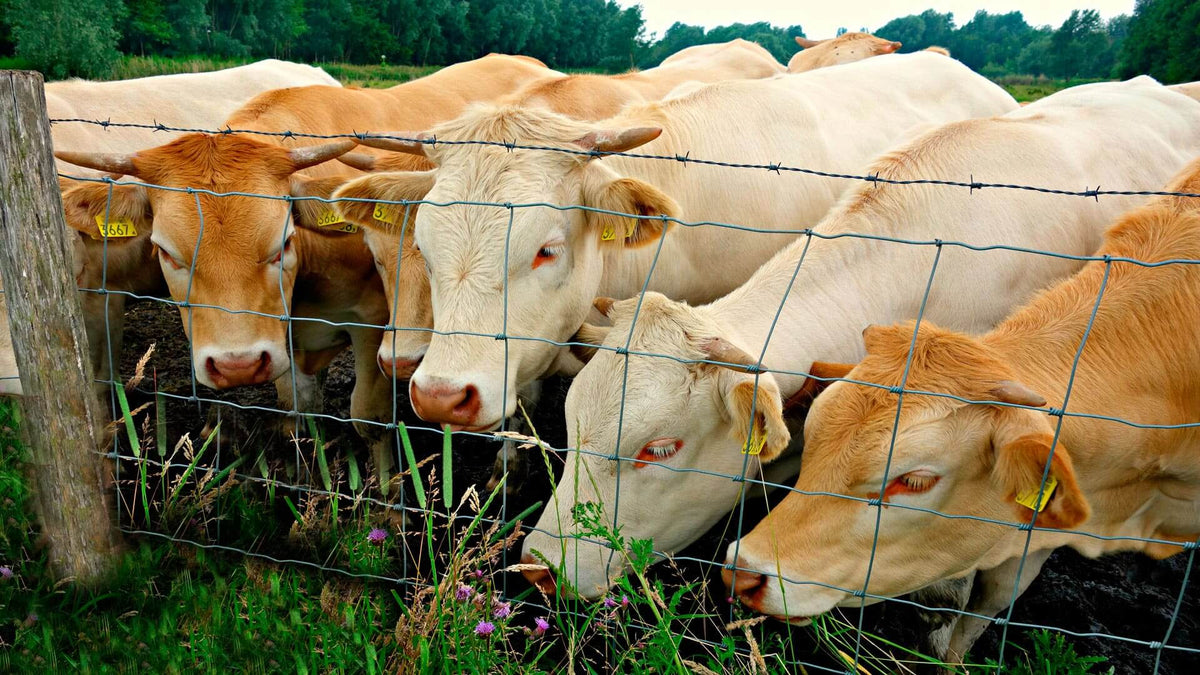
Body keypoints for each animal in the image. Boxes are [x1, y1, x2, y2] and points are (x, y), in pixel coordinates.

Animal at [54, 53, 559, 494]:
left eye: (282, 243)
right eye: (165, 252)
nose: (237, 365)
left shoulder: (374, 323)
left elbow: (368, 419)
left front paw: (389, 500)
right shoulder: (284, 338)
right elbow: (297, 413)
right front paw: (303, 485)